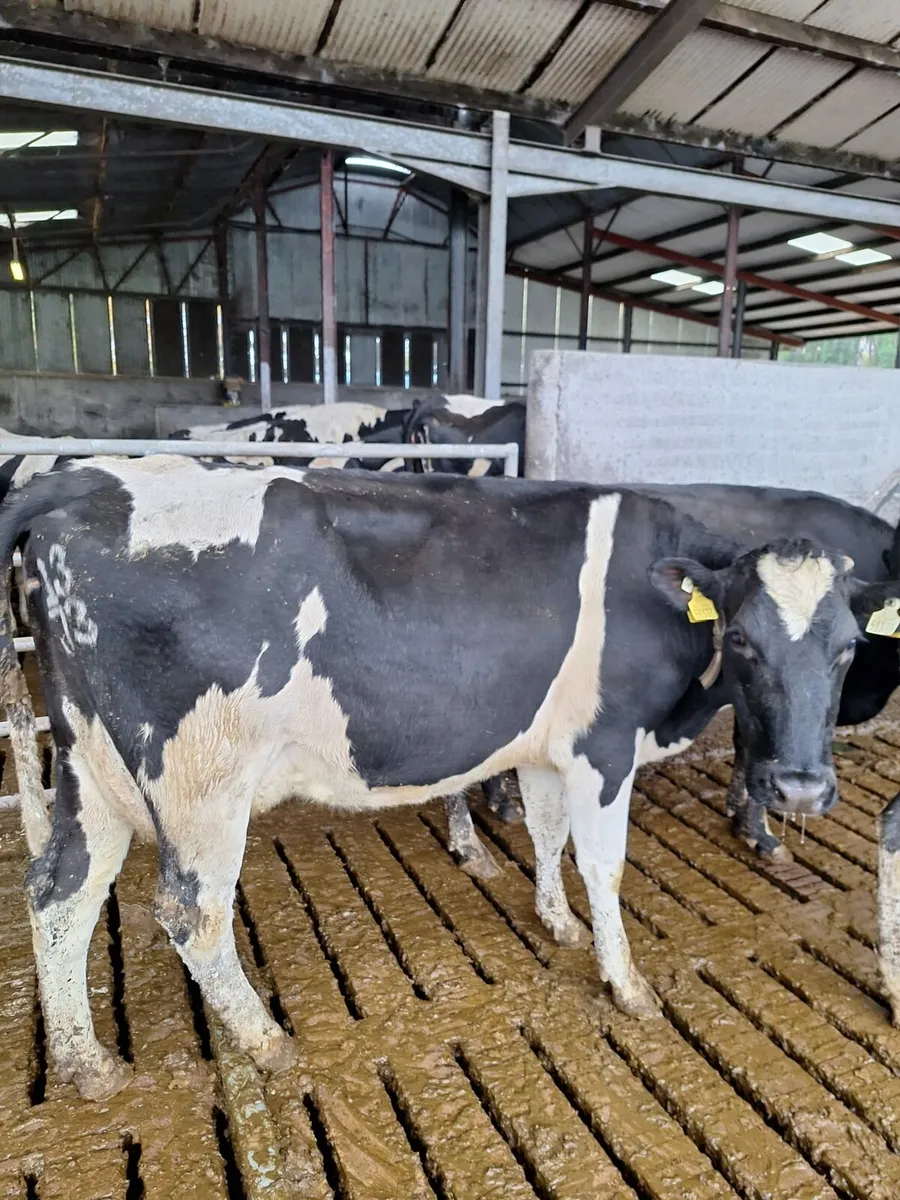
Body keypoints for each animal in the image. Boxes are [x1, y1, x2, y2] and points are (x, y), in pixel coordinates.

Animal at [2, 456, 894, 1102]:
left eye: (850, 646)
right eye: (741, 639)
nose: (803, 789)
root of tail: (86, 478)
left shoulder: (545, 747)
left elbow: (548, 834)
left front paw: (557, 923)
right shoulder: (603, 748)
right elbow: (604, 864)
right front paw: (628, 981)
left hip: (88, 759)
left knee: (60, 891)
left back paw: (87, 1065)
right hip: (200, 777)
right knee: (191, 914)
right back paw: (265, 1041)